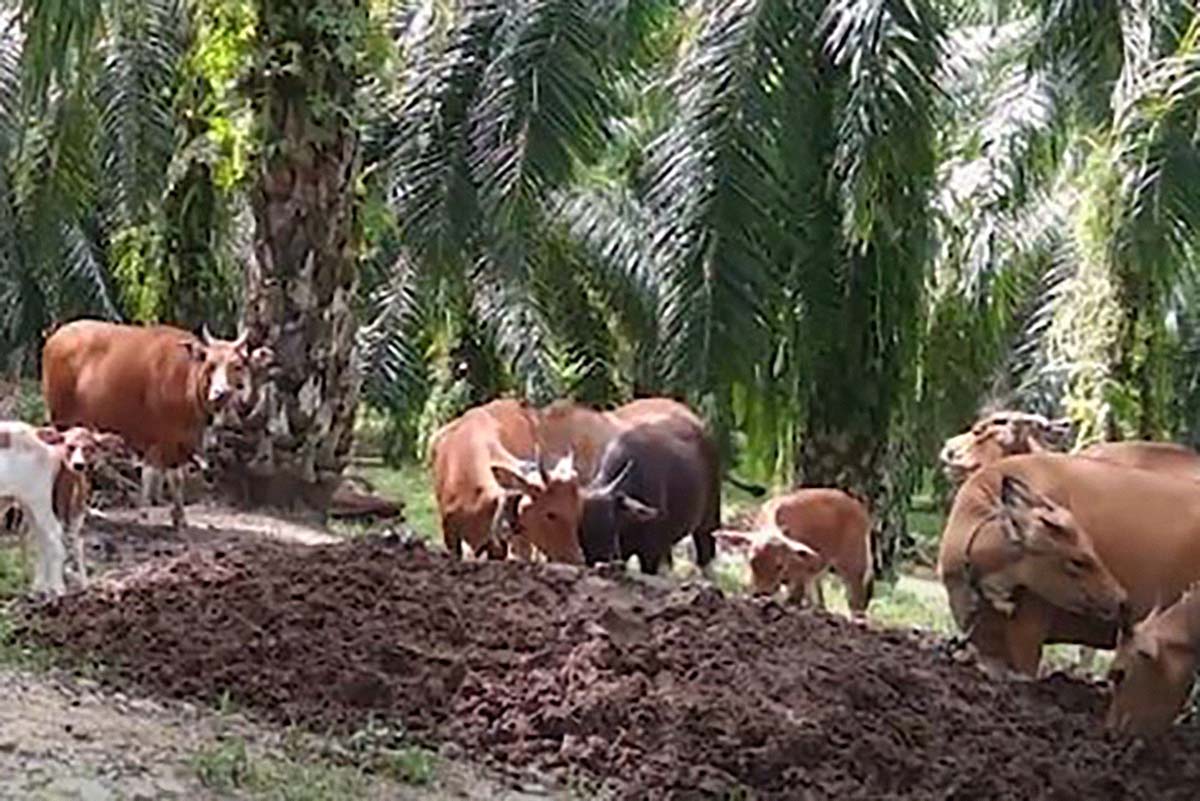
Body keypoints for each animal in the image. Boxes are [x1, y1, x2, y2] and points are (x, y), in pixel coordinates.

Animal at [41, 318, 255, 532]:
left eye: (236, 366)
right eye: (211, 364)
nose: (221, 392)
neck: (187, 379)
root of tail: (55, 337)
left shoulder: (180, 439)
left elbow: (169, 476)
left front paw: (176, 517)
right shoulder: (163, 438)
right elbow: (163, 477)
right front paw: (159, 516)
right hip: (61, 418)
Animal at [710, 489, 873, 613]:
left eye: (779, 565)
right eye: (751, 561)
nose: (761, 593)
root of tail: (859, 507)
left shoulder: (800, 575)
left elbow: (793, 600)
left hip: (854, 561)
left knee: (856, 600)